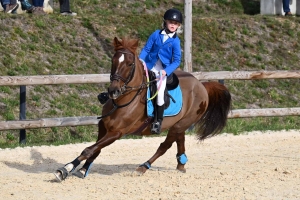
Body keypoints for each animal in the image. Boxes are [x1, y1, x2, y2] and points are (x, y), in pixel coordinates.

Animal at [53, 36, 232, 180]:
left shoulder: (117, 132)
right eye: (113, 61)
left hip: (181, 124)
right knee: (180, 140)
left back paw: (144, 166)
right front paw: (83, 169)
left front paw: (65, 169)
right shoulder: (103, 127)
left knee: (164, 146)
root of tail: (201, 85)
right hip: (179, 124)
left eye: (130, 63)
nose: (113, 91)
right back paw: (181, 164)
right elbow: (95, 149)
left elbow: (89, 150)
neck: (122, 100)